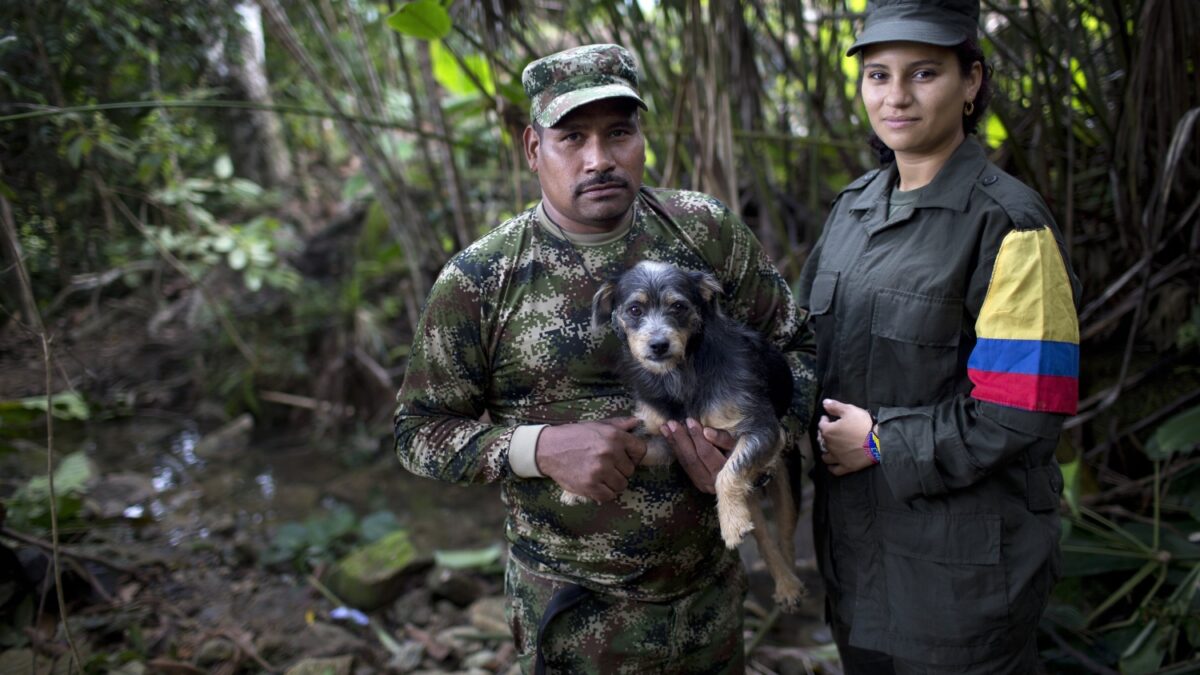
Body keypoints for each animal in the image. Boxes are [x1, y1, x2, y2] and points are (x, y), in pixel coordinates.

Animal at [583, 260, 801, 607]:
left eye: (679, 307)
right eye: (634, 309)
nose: (659, 345)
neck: (679, 374)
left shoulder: (763, 430)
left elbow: (727, 473)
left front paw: (731, 524)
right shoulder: (667, 438)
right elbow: (630, 443)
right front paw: (574, 488)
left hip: (786, 481)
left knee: (784, 535)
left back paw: (788, 584)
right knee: (763, 534)